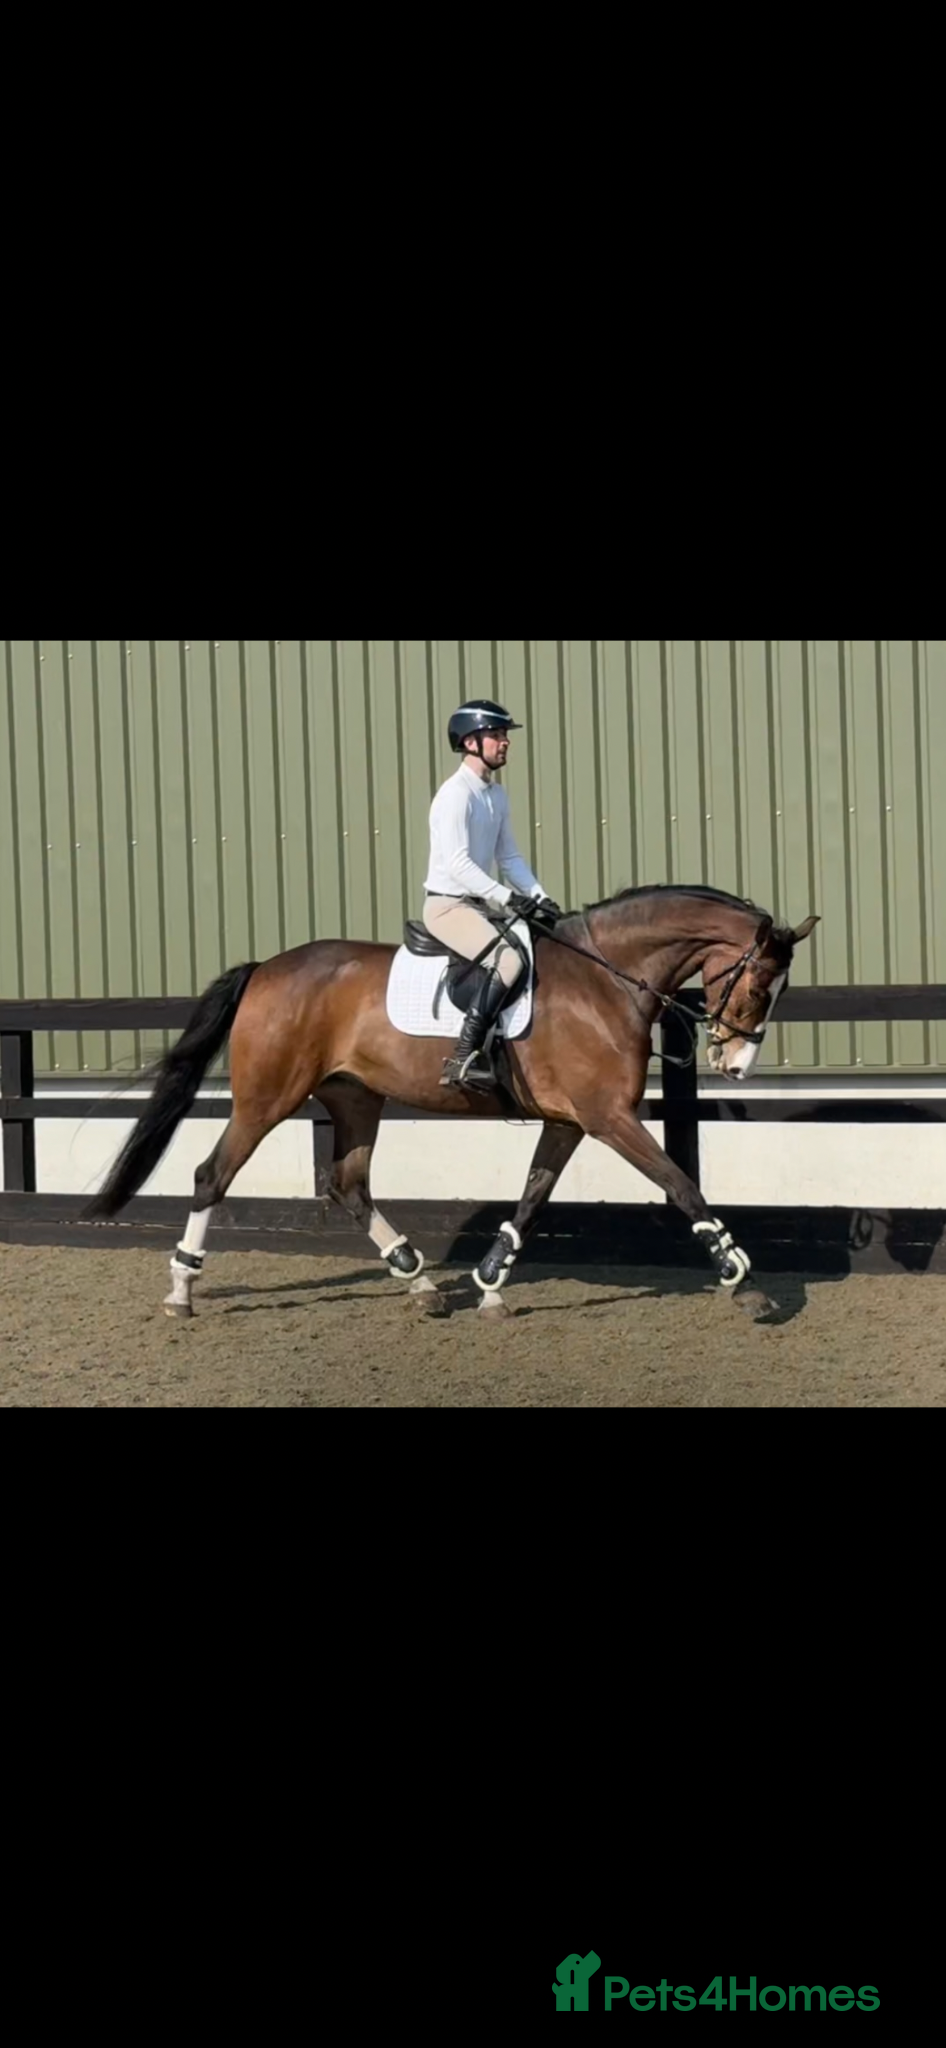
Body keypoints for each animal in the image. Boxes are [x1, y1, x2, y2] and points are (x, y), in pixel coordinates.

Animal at [84, 885, 819, 1321]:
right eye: (759, 987)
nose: (736, 1066)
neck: (605, 980)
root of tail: (265, 968)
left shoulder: (571, 1120)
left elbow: (532, 1197)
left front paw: (491, 1281)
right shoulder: (609, 1118)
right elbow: (680, 1185)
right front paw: (740, 1276)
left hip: (356, 1099)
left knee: (349, 1184)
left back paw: (420, 1281)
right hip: (268, 1098)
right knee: (213, 1175)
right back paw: (181, 1290)